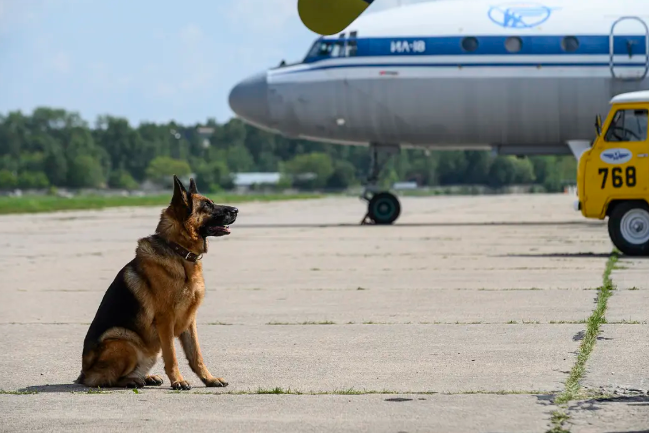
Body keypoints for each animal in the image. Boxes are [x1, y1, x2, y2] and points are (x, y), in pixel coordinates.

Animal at [76, 174, 238, 390]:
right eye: (207, 205)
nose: (236, 210)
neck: (178, 252)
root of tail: (83, 374)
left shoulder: (190, 320)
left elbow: (196, 355)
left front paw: (209, 379)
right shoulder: (165, 320)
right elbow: (172, 355)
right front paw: (178, 381)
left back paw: (146, 377)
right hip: (124, 341)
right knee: (104, 380)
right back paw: (132, 381)